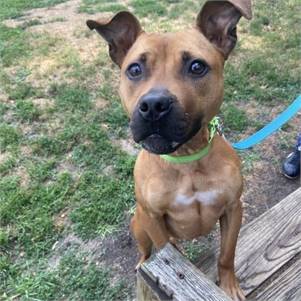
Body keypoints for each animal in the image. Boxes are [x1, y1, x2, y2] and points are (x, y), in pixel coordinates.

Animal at [86, 1, 251, 298]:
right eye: (134, 69)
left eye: (197, 66)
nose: (153, 105)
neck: (186, 159)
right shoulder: (152, 217)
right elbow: (165, 247)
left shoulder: (234, 209)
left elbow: (226, 255)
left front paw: (229, 287)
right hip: (138, 223)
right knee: (146, 249)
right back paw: (143, 263)